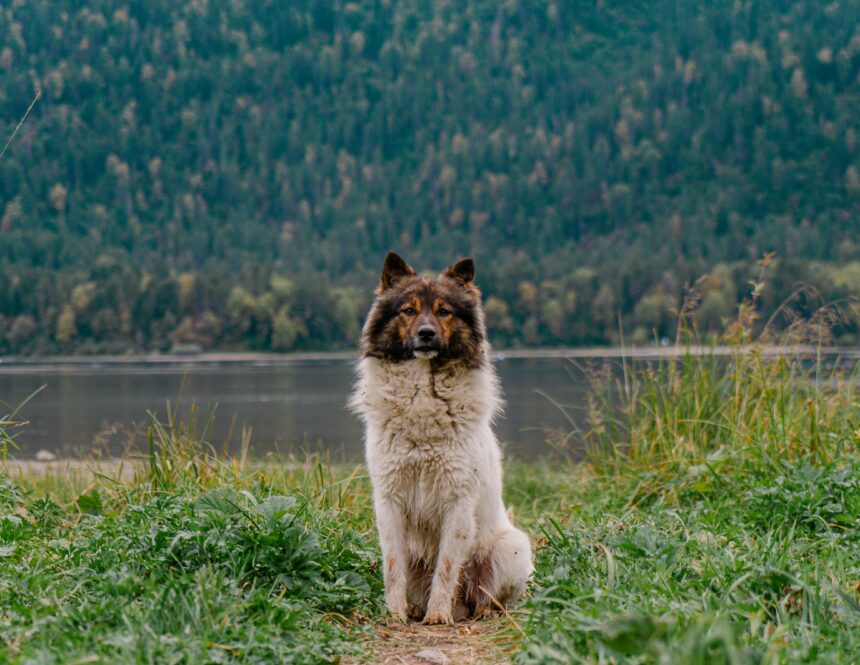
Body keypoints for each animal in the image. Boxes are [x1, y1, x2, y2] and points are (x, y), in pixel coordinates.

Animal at [350, 252, 532, 624]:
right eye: (409, 310)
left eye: (444, 311)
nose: (426, 333)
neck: (423, 396)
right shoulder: (389, 499)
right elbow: (393, 566)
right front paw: (395, 613)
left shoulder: (457, 500)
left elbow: (447, 566)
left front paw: (437, 615)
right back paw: (415, 607)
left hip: (512, 549)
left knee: (484, 596)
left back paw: (477, 611)